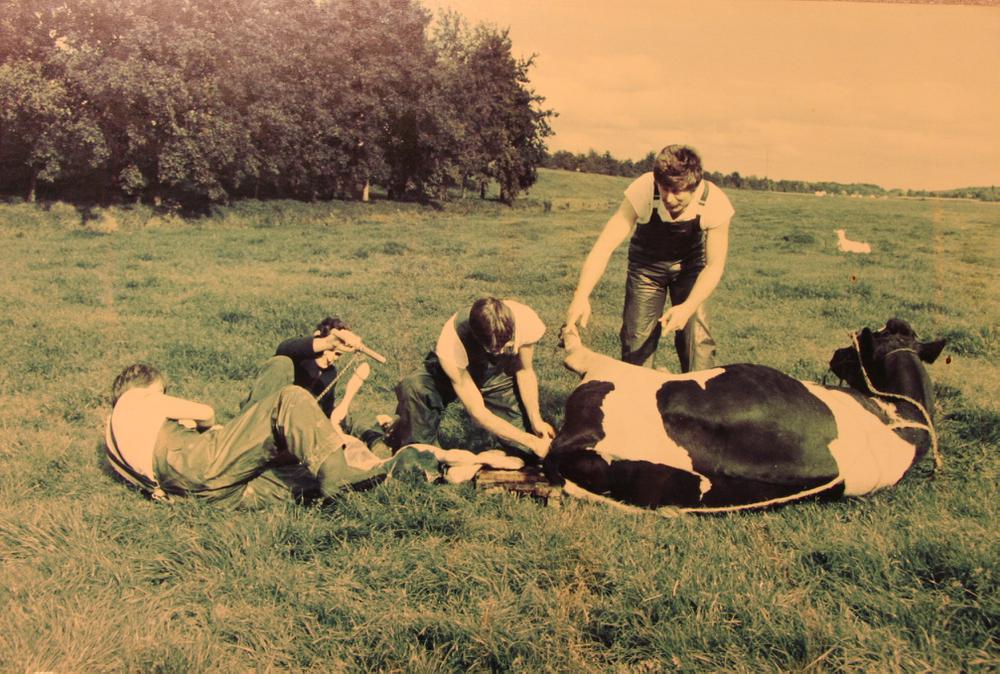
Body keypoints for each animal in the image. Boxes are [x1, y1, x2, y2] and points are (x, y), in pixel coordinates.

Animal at [542, 319, 946, 514]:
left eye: (857, 343)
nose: (835, 353)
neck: (907, 420)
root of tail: (578, 441)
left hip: (609, 378)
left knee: (584, 360)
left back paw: (572, 338)